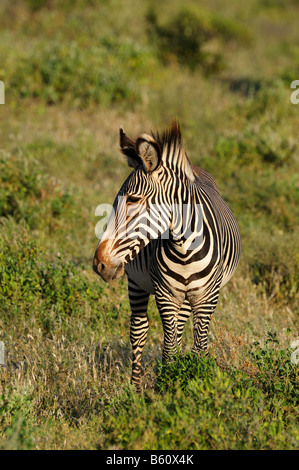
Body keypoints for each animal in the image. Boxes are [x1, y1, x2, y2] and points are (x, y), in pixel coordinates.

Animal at [94, 121, 241, 392]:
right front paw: (167, 384)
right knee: (139, 331)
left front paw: (196, 383)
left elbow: (199, 346)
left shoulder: (207, 298)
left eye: (133, 199)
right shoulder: (165, 294)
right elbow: (168, 347)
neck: (184, 249)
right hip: (137, 283)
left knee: (181, 328)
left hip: (187, 296)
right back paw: (135, 390)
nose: (100, 264)